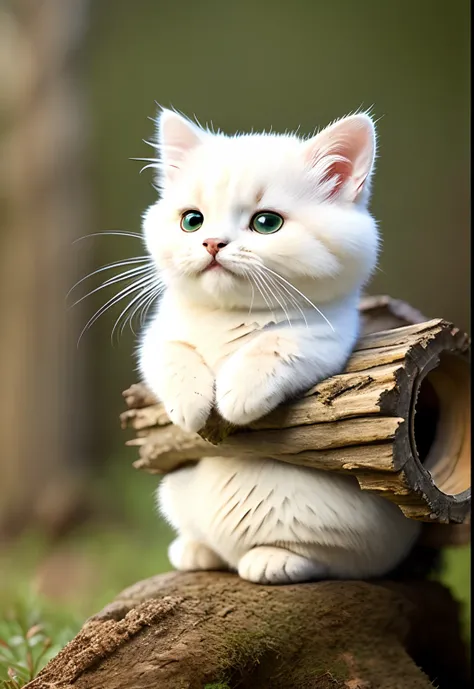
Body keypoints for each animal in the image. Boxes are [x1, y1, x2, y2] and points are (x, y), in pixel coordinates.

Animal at [137, 110, 418, 584]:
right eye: (192, 221)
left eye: (266, 223)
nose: (211, 242)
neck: (229, 316)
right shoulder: (158, 335)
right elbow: (170, 354)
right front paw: (189, 403)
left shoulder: (329, 334)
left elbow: (276, 343)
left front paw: (237, 396)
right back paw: (195, 550)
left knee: (339, 560)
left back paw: (274, 559)